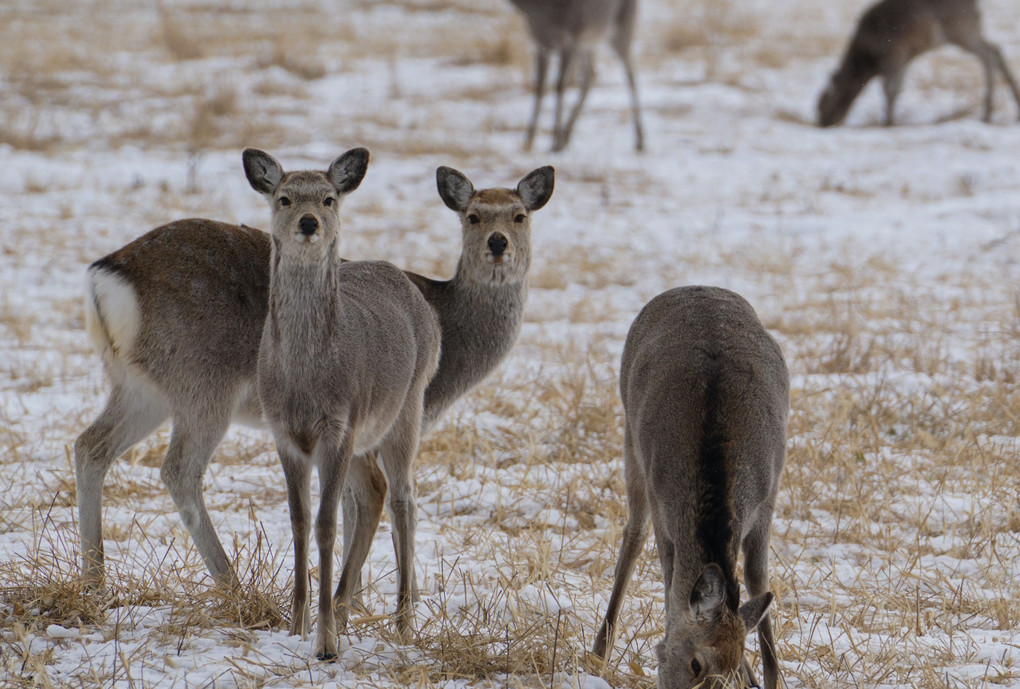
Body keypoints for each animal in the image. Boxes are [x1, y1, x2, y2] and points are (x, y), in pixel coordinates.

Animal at [75, 159, 554, 600]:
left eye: (519, 215)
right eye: (472, 216)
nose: (497, 244)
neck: (451, 339)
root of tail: (106, 278)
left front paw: (351, 596)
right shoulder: (399, 416)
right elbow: (369, 502)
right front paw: (380, 597)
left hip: (141, 387)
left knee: (89, 446)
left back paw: (94, 579)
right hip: (204, 381)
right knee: (178, 469)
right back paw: (234, 586)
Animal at [243, 146, 442, 657]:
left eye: (329, 198)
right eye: (285, 197)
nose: (309, 221)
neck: (304, 378)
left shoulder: (338, 426)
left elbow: (326, 525)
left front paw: (325, 641)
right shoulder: (284, 433)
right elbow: (297, 522)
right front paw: (296, 626)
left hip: (405, 409)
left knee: (404, 497)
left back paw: (403, 621)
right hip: (364, 434)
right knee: (375, 490)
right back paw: (347, 608)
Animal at [503, 0, 640, 151]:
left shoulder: (570, 39)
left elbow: (560, 86)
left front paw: (555, 142)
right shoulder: (541, 43)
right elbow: (540, 88)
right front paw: (529, 140)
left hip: (621, 29)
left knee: (631, 75)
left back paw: (640, 140)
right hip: (587, 44)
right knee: (591, 75)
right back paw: (567, 135)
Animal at [591, 285, 787, 689]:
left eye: (730, 672)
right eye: (695, 663)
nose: (742, 673)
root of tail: (698, 287)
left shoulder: (768, 499)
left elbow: (758, 579)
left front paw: (767, 678)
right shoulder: (664, 509)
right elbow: (670, 585)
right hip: (631, 440)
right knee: (633, 534)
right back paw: (598, 653)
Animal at [816, 0, 1020, 126]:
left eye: (825, 102)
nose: (822, 122)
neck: (867, 61)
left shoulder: (894, 53)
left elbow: (888, 89)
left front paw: (888, 121)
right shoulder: (907, 55)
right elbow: (897, 87)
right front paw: (892, 119)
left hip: (961, 29)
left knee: (990, 54)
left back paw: (989, 112)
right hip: (966, 30)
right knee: (995, 51)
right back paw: (1002, 109)